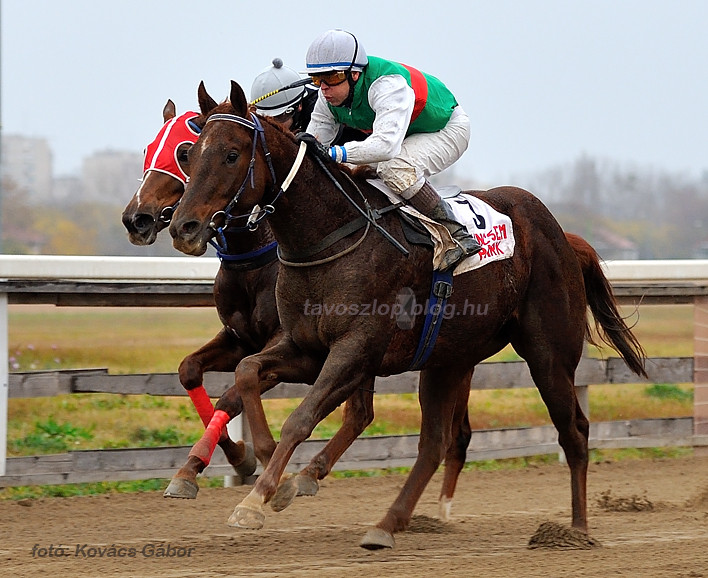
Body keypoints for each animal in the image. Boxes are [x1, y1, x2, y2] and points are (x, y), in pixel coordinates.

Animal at [167, 79, 648, 548]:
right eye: (190, 154)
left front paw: (258, 497)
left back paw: (575, 530)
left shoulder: (354, 350)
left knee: (574, 431)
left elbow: (300, 418)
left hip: (548, 354)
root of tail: (563, 236)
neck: (330, 237)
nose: (182, 227)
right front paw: (265, 466)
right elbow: (248, 373)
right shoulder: (306, 348)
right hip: (447, 359)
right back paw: (386, 524)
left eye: (231, 154)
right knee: (435, 443)